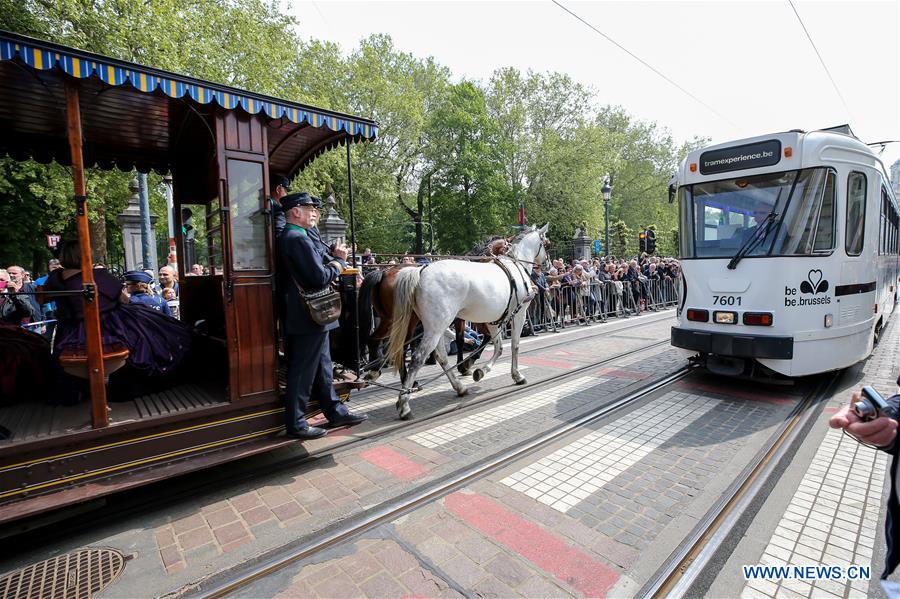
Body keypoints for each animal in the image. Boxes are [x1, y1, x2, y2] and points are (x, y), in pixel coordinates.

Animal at [382, 223, 548, 420]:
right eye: (547, 244)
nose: (547, 264)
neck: (515, 266)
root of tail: (421, 271)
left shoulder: (493, 319)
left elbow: (498, 347)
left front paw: (480, 371)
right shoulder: (518, 314)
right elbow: (514, 345)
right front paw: (517, 375)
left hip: (436, 327)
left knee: (440, 356)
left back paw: (459, 387)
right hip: (435, 328)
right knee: (417, 359)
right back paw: (404, 404)